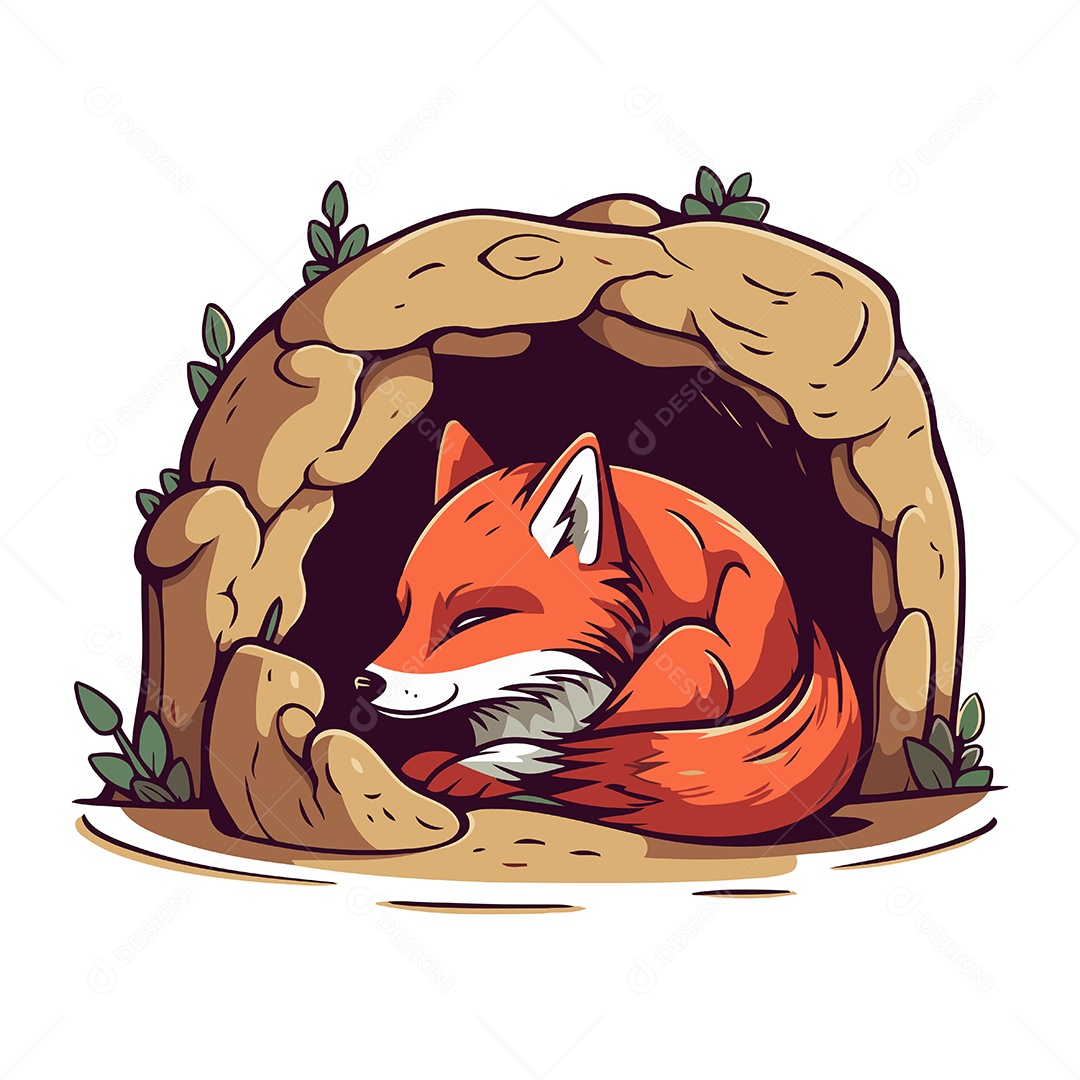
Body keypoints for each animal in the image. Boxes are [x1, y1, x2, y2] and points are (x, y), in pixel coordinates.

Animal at [352, 420, 863, 840]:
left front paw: (478, 769)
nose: (366, 682)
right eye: (404, 611)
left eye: (472, 620)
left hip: (693, 649)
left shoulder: (691, 679)